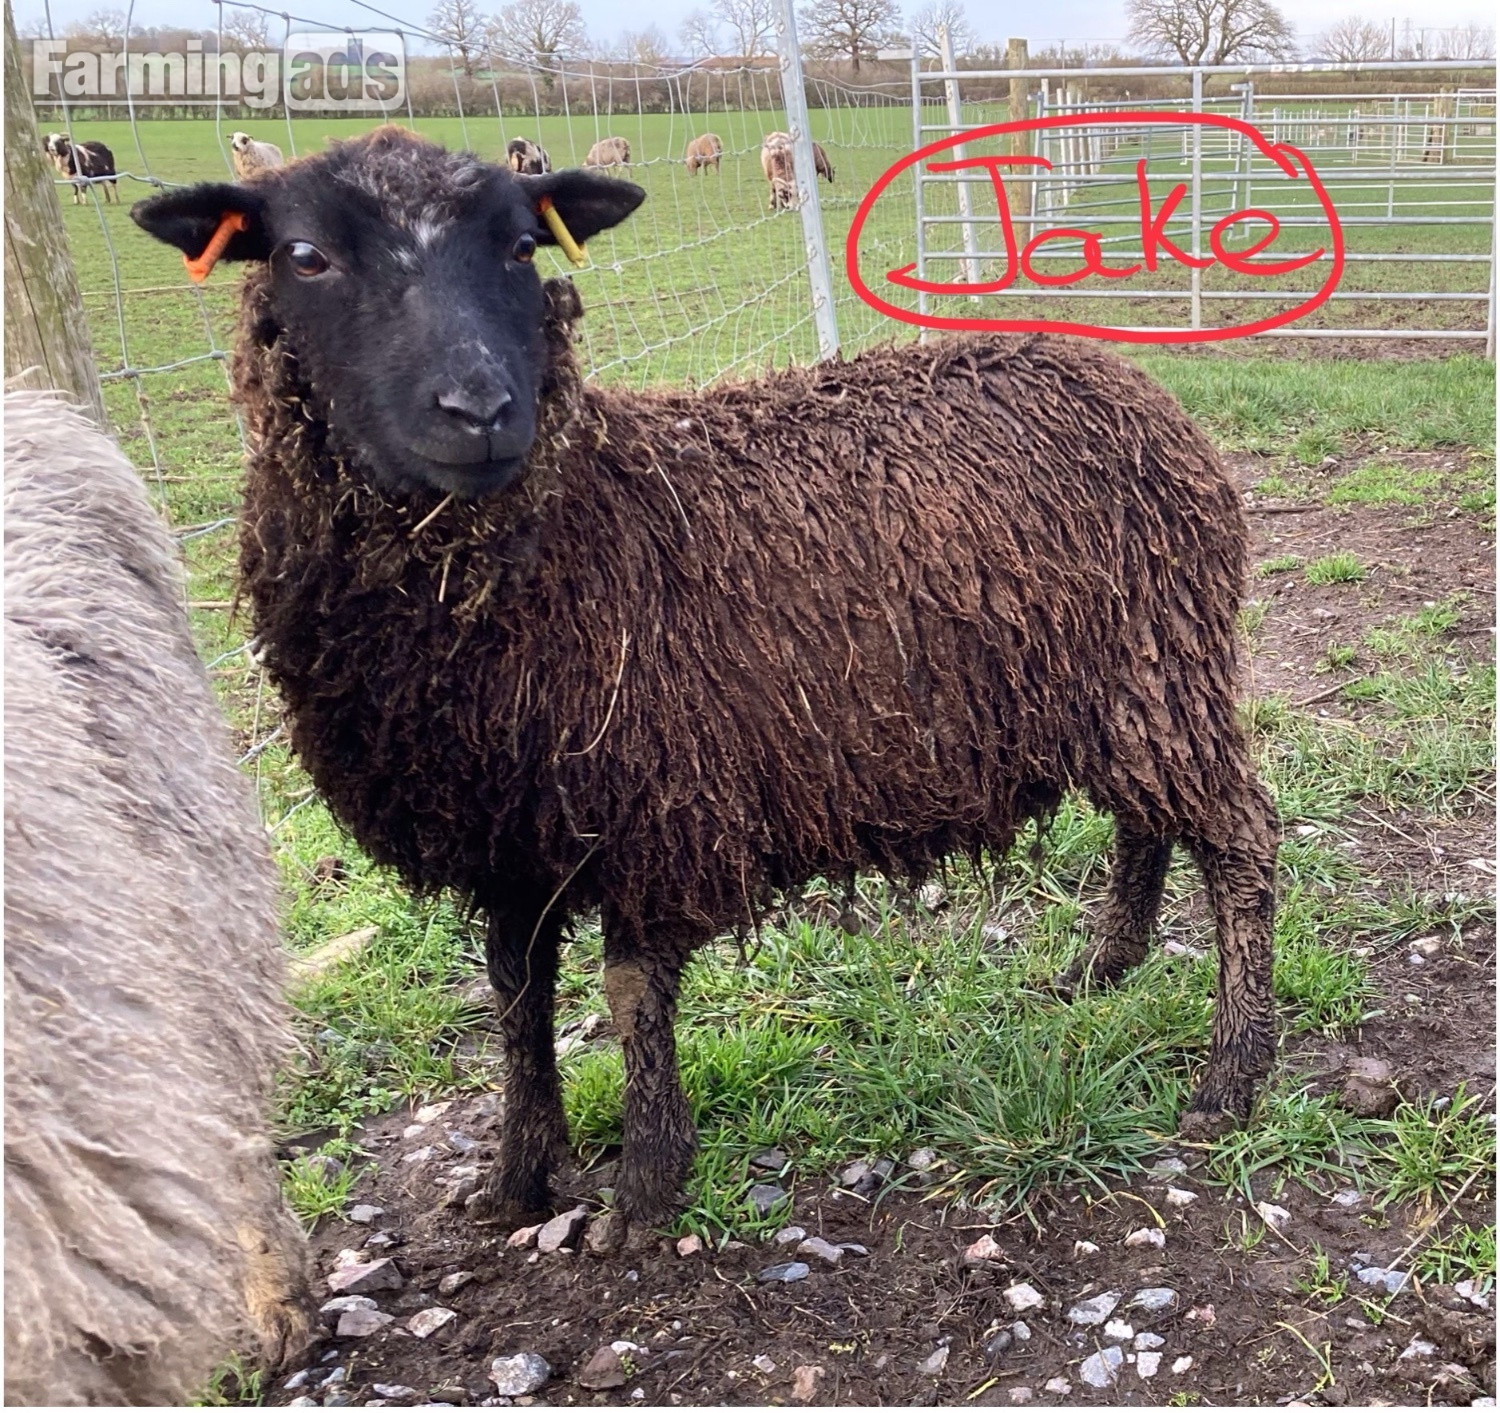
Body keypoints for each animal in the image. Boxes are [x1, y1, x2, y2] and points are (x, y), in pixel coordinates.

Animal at [132, 126, 1279, 1229]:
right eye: (304, 256)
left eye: (522, 246)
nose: (481, 409)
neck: (562, 527)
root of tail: (1150, 400)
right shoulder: (510, 832)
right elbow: (515, 997)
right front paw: (517, 1177)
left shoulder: (651, 802)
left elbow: (631, 991)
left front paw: (644, 1187)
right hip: (1115, 685)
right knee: (1148, 818)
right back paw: (1107, 964)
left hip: (1158, 667)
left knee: (1238, 836)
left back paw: (1231, 1075)